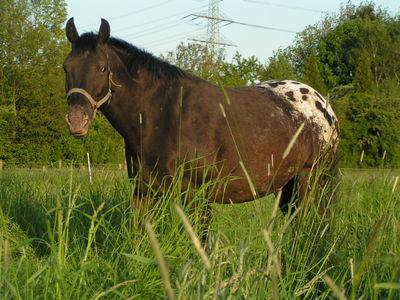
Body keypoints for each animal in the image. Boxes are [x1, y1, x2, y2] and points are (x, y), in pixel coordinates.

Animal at [63, 18, 338, 216]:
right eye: (66, 67)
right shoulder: (145, 191)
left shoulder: (197, 195)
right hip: (287, 188)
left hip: (310, 180)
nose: (76, 120)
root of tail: (324, 106)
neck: (164, 115)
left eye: (102, 68)